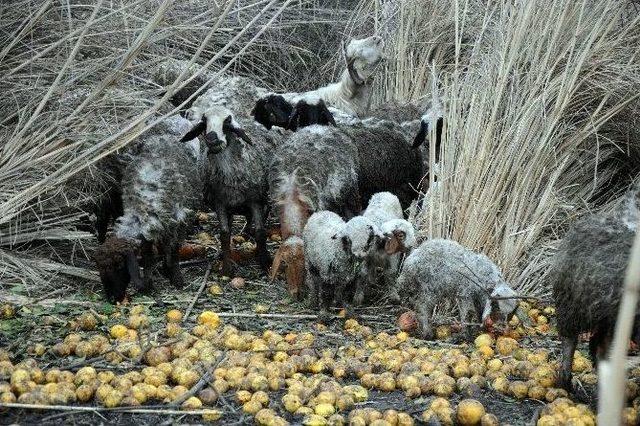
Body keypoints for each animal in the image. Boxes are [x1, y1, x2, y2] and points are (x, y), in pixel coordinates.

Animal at [92, 115, 206, 304]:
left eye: (119, 265)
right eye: (99, 268)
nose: (112, 298)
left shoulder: (180, 219)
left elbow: (174, 249)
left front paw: (176, 278)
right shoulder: (150, 229)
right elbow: (147, 254)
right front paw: (149, 282)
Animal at [180, 105, 280, 274]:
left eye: (227, 121)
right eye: (204, 121)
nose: (211, 138)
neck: (229, 175)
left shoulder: (255, 201)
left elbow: (260, 232)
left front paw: (265, 262)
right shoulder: (220, 203)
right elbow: (225, 234)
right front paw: (226, 268)